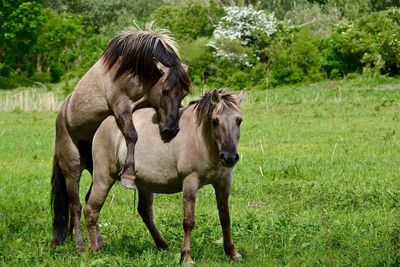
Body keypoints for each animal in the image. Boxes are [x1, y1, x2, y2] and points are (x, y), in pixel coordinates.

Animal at [49, 23, 191, 253]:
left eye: (184, 92)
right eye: (166, 90)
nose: (170, 130)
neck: (133, 70)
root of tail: (62, 114)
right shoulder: (120, 106)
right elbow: (132, 134)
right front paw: (130, 174)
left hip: (97, 169)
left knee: (90, 200)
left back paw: (98, 242)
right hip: (72, 166)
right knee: (76, 205)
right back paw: (80, 245)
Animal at [84, 90, 244, 266]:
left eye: (239, 120)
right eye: (215, 121)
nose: (229, 157)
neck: (202, 140)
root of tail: (104, 124)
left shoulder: (223, 182)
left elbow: (225, 217)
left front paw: (232, 252)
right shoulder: (190, 182)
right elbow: (188, 221)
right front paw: (186, 256)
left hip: (144, 184)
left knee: (145, 212)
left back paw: (162, 245)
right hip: (103, 179)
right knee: (91, 210)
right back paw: (95, 250)